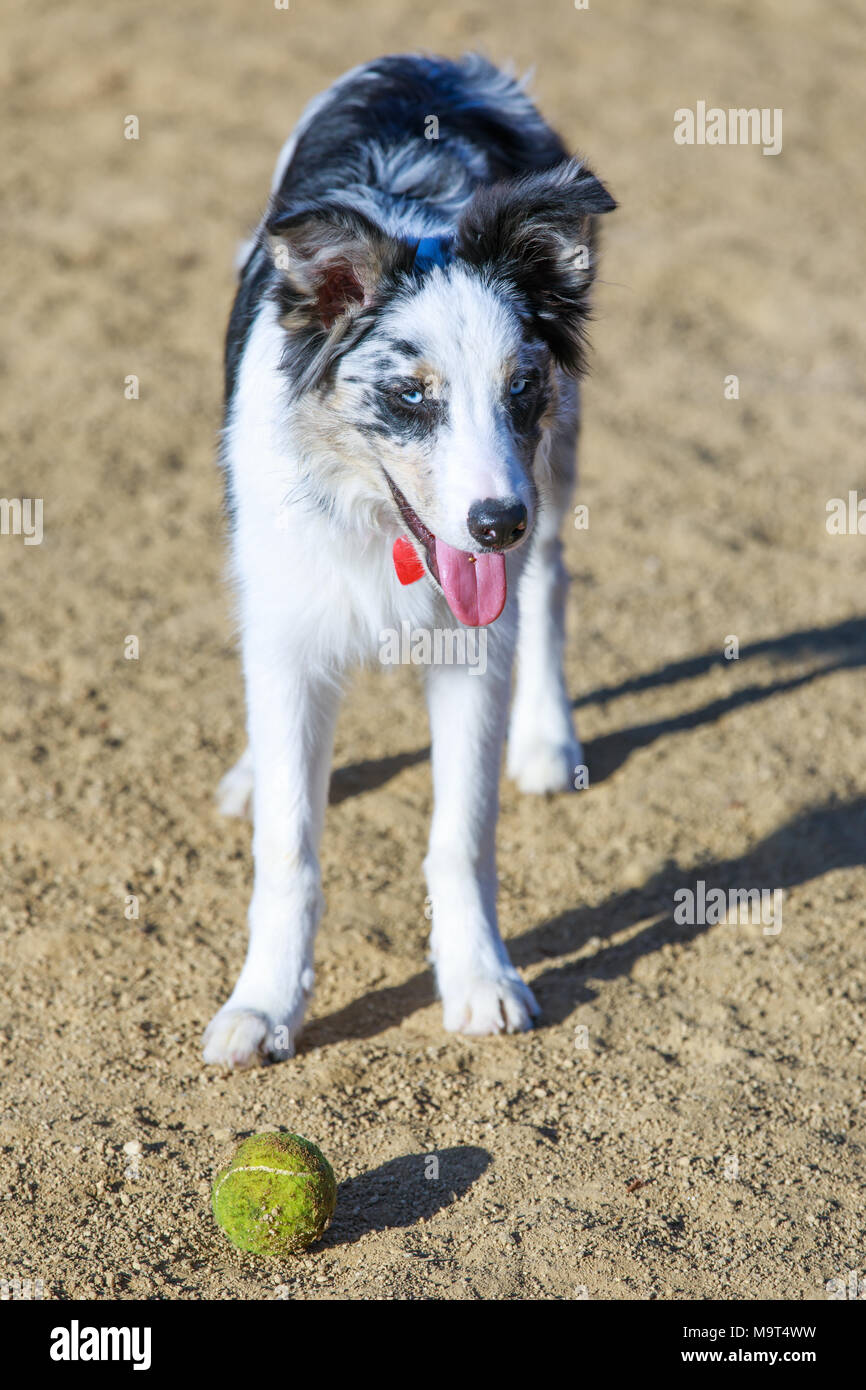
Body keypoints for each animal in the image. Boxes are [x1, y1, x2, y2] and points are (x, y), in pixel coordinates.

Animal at [201, 46, 617, 1061]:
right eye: (412, 396)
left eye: (519, 386)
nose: (497, 524)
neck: (380, 530)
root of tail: (443, 60)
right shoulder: (290, 634)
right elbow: (290, 847)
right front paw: (265, 1004)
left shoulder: (475, 652)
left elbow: (461, 833)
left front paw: (479, 980)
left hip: (559, 470)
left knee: (551, 584)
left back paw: (548, 739)